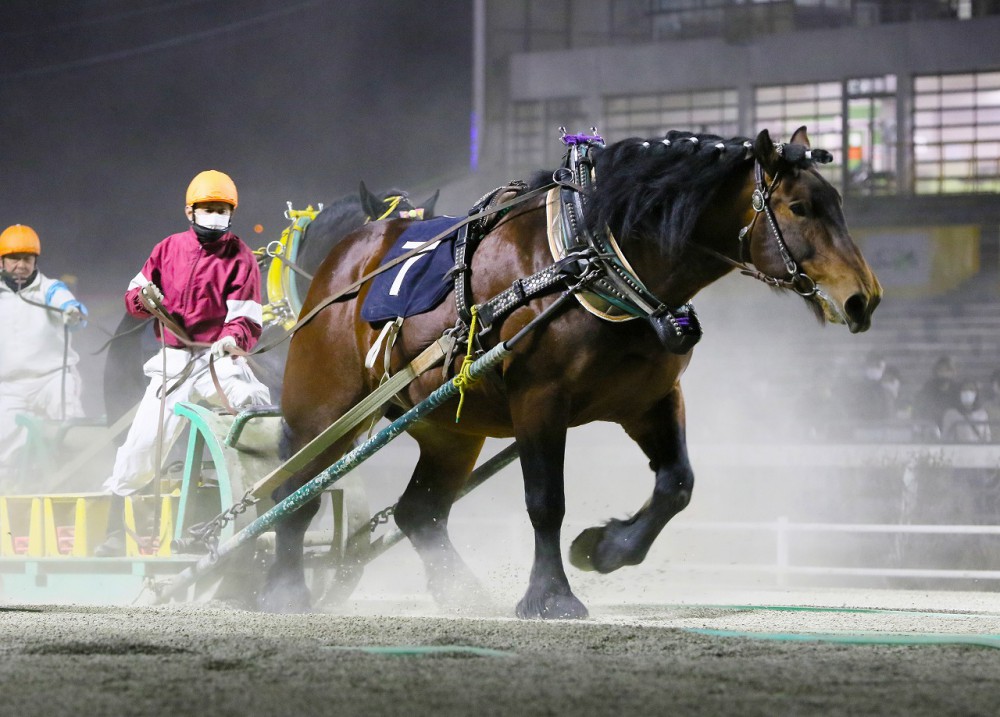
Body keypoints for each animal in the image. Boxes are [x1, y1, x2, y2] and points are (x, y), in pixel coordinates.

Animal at [270, 127, 880, 616]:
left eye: (836, 203)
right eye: (800, 207)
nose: (863, 298)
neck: (592, 259)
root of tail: (344, 264)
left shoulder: (651, 398)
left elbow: (676, 485)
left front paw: (604, 549)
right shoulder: (540, 400)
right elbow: (546, 502)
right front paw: (550, 596)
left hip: (449, 427)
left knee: (419, 514)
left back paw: (462, 594)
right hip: (324, 413)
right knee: (296, 495)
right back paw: (283, 591)